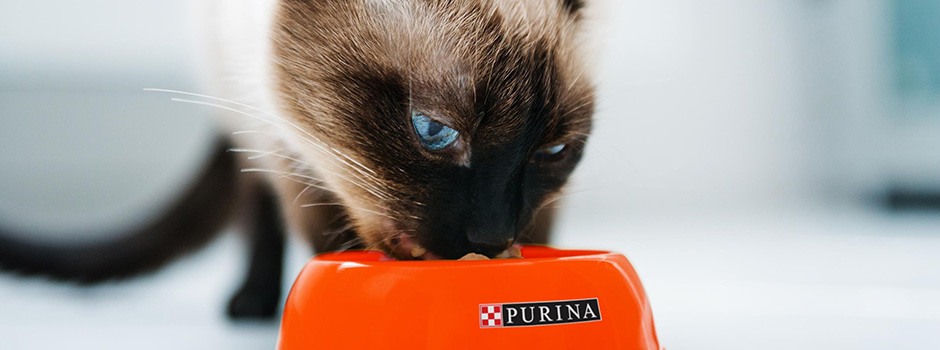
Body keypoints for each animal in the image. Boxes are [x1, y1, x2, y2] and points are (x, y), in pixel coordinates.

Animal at [0, 0, 596, 318]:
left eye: (552, 152)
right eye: (433, 130)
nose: (491, 237)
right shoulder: (287, 147)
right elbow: (321, 239)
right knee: (257, 209)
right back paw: (252, 304)